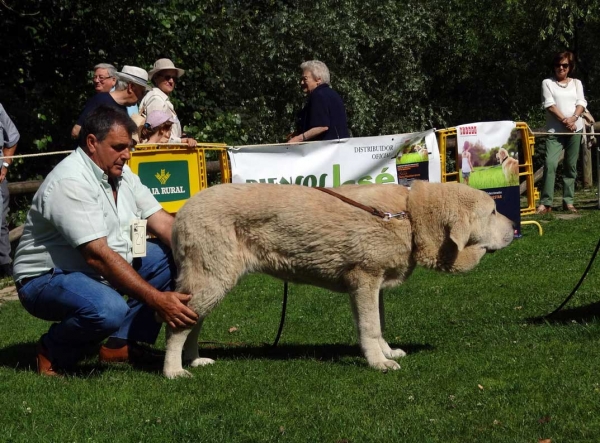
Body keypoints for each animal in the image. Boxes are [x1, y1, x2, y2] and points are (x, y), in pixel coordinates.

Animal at [165, 180, 516, 378]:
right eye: (493, 212)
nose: (514, 228)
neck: (409, 217)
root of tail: (181, 212)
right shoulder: (365, 279)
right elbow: (370, 327)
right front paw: (378, 364)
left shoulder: (373, 286)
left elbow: (378, 325)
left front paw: (386, 353)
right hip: (212, 279)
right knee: (177, 325)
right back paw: (173, 370)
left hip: (211, 281)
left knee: (193, 321)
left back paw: (193, 360)